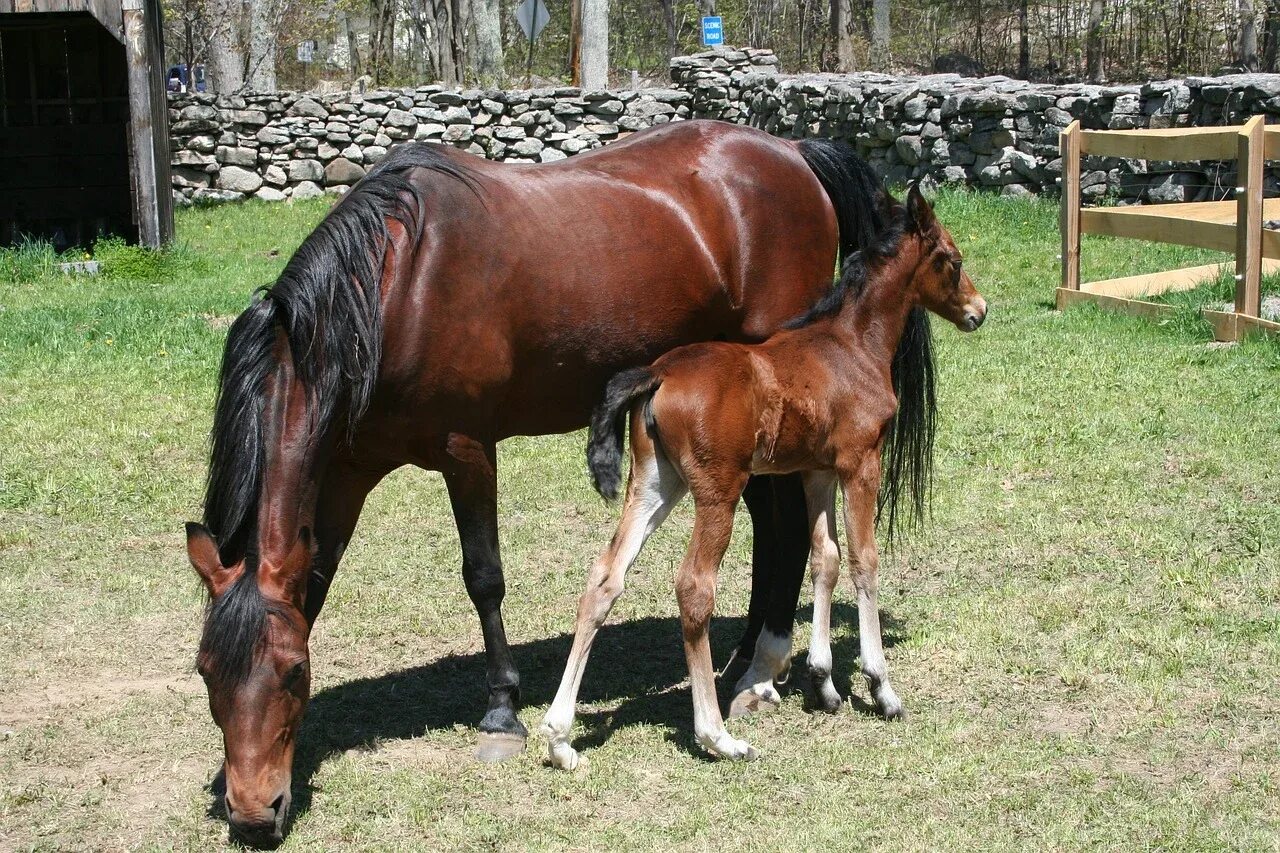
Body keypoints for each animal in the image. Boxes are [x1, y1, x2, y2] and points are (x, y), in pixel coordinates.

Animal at [185, 119, 890, 845]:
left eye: (292, 671)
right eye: (206, 673)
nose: (252, 815)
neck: (395, 291)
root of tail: (793, 152)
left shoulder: (467, 450)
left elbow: (483, 577)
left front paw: (502, 710)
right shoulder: (347, 471)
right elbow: (316, 583)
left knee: (786, 528)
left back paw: (760, 670)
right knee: (774, 530)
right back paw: (746, 657)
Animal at [535, 184, 983, 763]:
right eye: (953, 260)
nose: (978, 310)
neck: (851, 346)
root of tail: (657, 373)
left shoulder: (816, 471)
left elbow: (825, 558)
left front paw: (823, 684)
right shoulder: (861, 463)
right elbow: (863, 560)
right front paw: (881, 687)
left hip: (656, 484)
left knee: (605, 577)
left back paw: (559, 738)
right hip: (719, 491)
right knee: (694, 587)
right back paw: (716, 735)